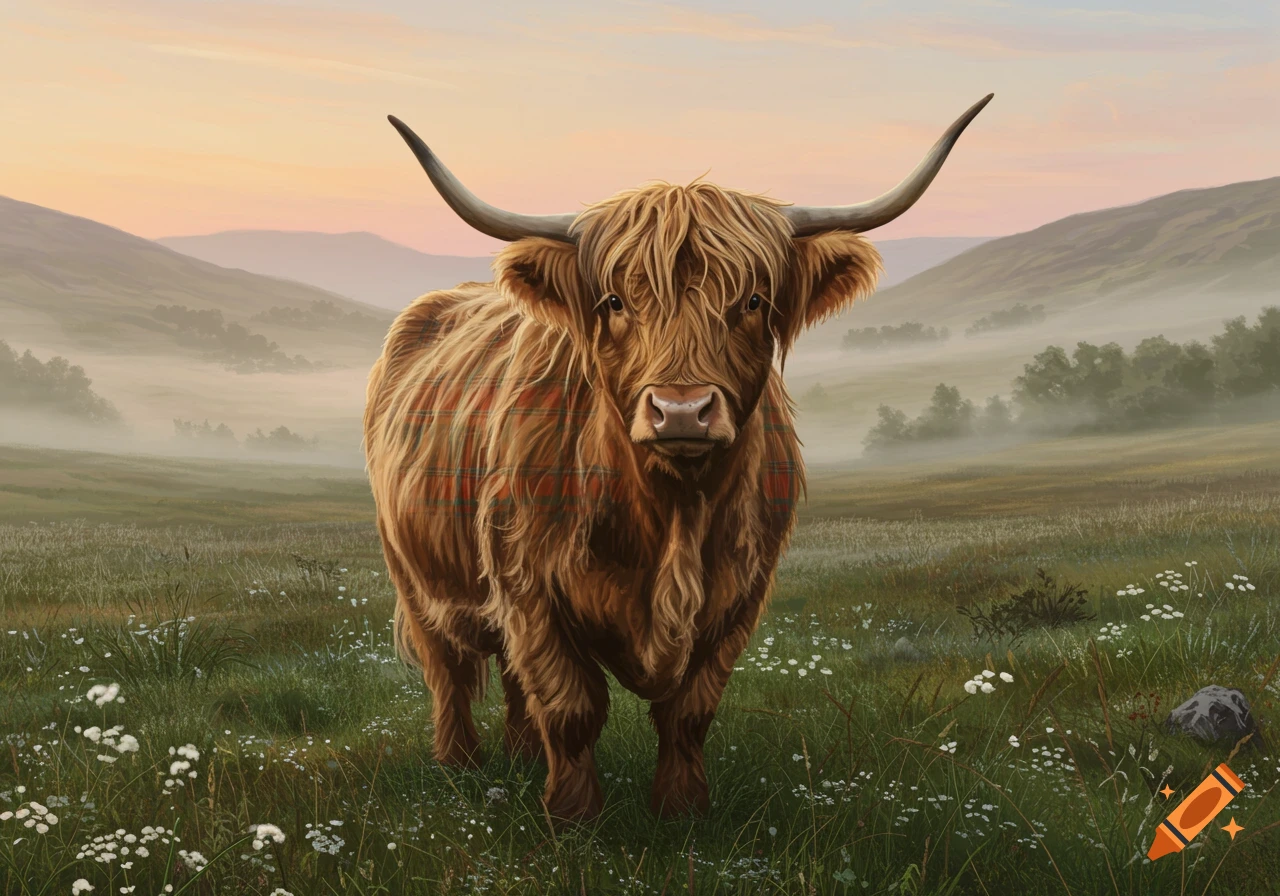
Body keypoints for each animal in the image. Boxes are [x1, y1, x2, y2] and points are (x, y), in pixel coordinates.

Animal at [363, 94, 992, 823]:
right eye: (614, 301)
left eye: (752, 300)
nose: (683, 411)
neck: (672, 513)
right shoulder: (528, 584)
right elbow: (571, 706)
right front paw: (573, 818)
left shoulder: (740, 594)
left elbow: (689, 710)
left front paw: (682, 810)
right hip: (412, 573)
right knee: (451, 671)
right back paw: (459, 763)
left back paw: (519, 758)